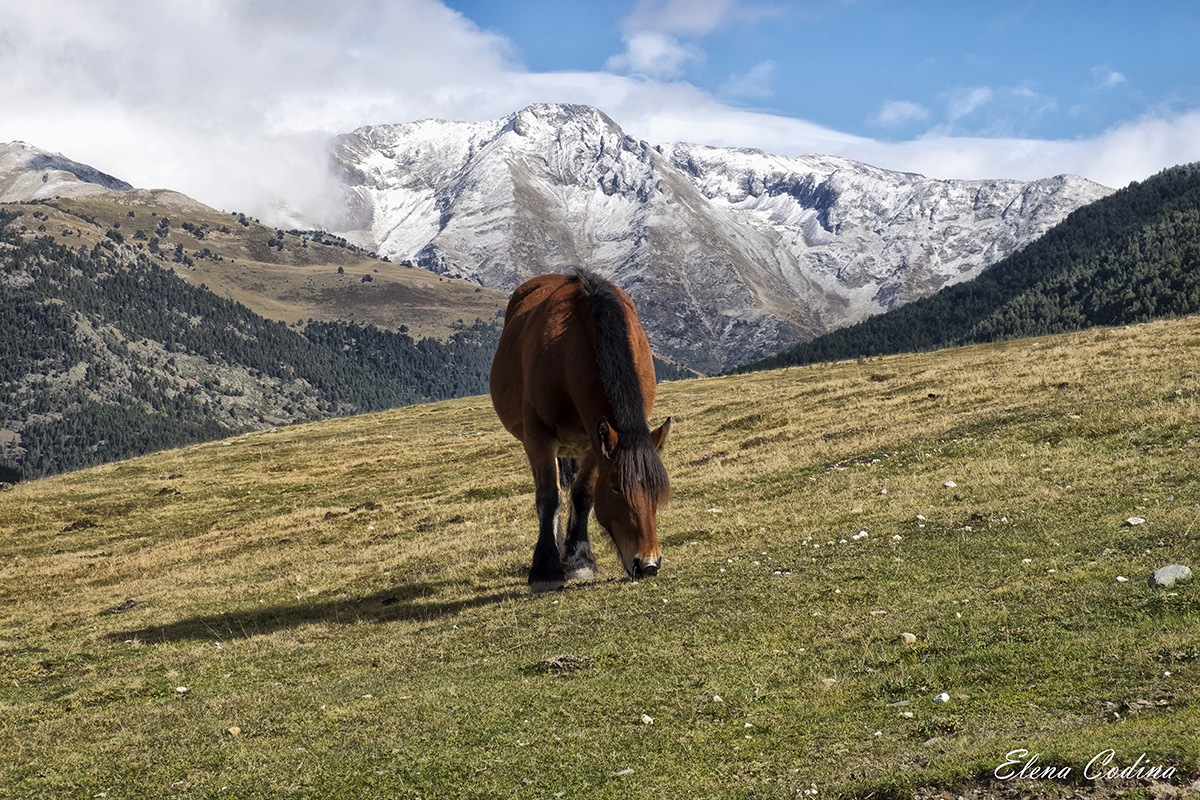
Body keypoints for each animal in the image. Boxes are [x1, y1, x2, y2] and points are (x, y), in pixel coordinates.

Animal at [489, 272, 676, 592]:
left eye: (656, 489)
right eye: (616, 487)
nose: (648, 564)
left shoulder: (594, 442)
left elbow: (583, 496)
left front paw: (579, 561)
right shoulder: (539, 437)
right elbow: (549, 498)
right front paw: (546, 569)